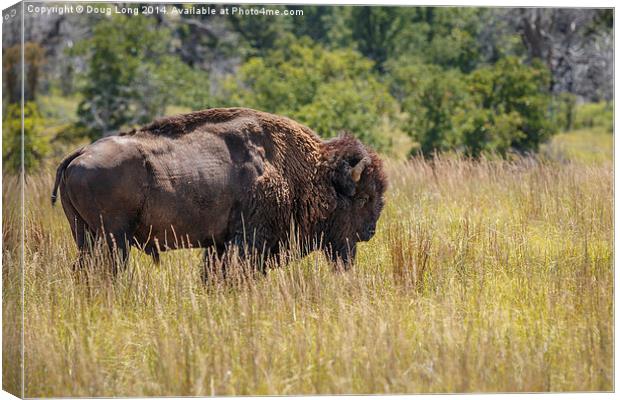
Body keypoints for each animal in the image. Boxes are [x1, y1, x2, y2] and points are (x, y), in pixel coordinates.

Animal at [50, 107, 386, 276]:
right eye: (363, 197)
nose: (370, 231)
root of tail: (80, 154)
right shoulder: (249, 240)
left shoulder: (221, 243)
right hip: (113, 238)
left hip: (86, 235)